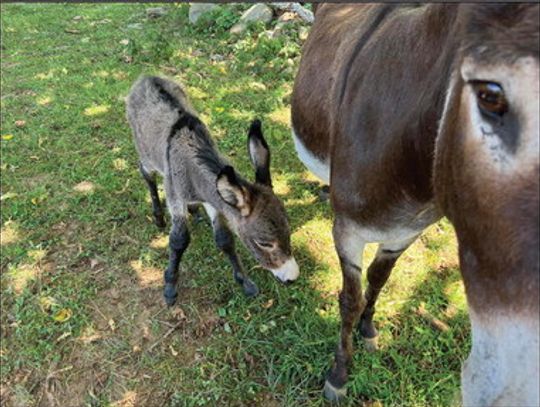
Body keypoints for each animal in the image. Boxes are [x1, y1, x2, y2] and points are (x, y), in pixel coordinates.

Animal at [126, 76, 300, 306]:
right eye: (264, 243)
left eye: (289, 230)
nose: (292, 278)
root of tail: (146, 77)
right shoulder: (174, 195)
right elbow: (179, 240)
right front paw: (170, 285)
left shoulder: (213, 201)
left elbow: (224, 239)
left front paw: (245, 282)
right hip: (146, 155)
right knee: (147, 174)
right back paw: (159, 216)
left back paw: (194, 212)